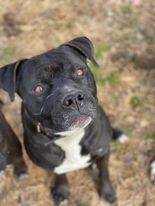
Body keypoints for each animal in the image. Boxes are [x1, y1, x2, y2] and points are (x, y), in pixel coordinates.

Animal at [0, 37, 123, 204]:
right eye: (38, 88)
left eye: (79, 71)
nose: (73, 98)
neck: (70, 135)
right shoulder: (51, 164)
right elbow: (60, 175)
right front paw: (61, 190)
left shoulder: (103, 151)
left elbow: (105, 173)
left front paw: (107, 192)